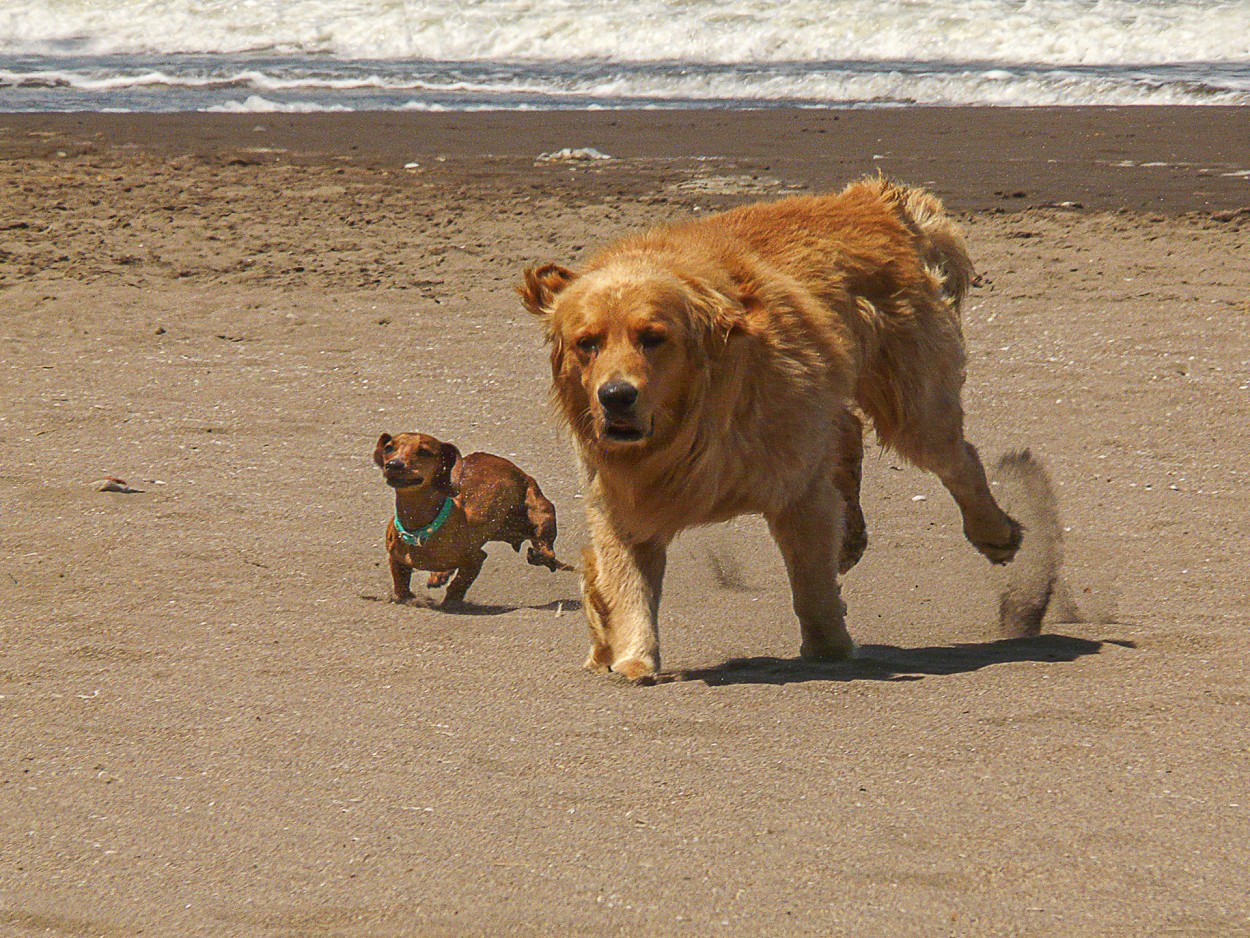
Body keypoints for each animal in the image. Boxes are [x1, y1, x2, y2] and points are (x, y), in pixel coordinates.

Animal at [372, 432, 572, 602]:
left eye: (424, 451)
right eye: (389, 447)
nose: (394, 464)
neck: (421, 529)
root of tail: (523, 474)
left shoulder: (476, 558)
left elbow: (459, 585)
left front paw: (451, 602)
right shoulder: (396, 559)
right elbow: (401, 583)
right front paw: (405, 595)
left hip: (541, 514)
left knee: (547, 549)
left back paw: (539, 554)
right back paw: (439, 575)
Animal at [522, 176, 1020, 685]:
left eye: (653, 338)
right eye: (587, 343)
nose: (616, 396)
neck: (690, 430)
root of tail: (873, 199)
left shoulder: (796, 485)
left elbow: (811, 581)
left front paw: (829, 645)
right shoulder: (625, 497)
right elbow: (627, 582)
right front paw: (633, 658)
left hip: (912, 400)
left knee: (955, 457)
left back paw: (995, 532)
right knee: (848, 431)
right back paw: (852, 539)